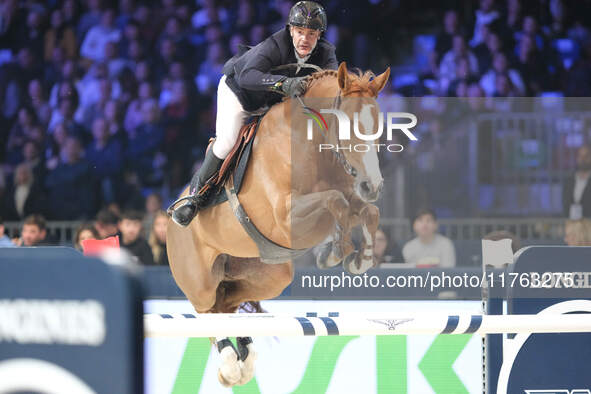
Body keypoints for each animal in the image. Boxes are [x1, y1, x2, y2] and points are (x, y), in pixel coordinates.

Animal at [166, 63, 390, 386]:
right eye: (348, 126)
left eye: (378, 126)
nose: (373, 186)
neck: (308, 142)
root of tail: (170, 214)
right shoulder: (286, 218)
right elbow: (335, 201)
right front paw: (337, 251)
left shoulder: (349, 195)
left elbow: (365, 211)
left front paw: (357, 258)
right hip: (199, 280)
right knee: (207, 309)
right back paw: (229, 364)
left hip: (272, 275)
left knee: (227, 302)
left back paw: (244, 354)